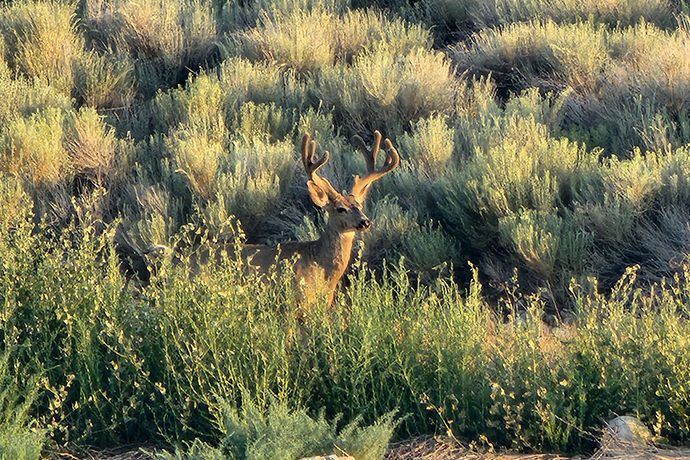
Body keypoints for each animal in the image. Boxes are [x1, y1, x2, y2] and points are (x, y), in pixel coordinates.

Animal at [179, 130, 400, 307]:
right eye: (340, 209)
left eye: (359, 206)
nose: (365, 222)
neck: (321, 269)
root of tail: (178, 259)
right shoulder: (298, 300)